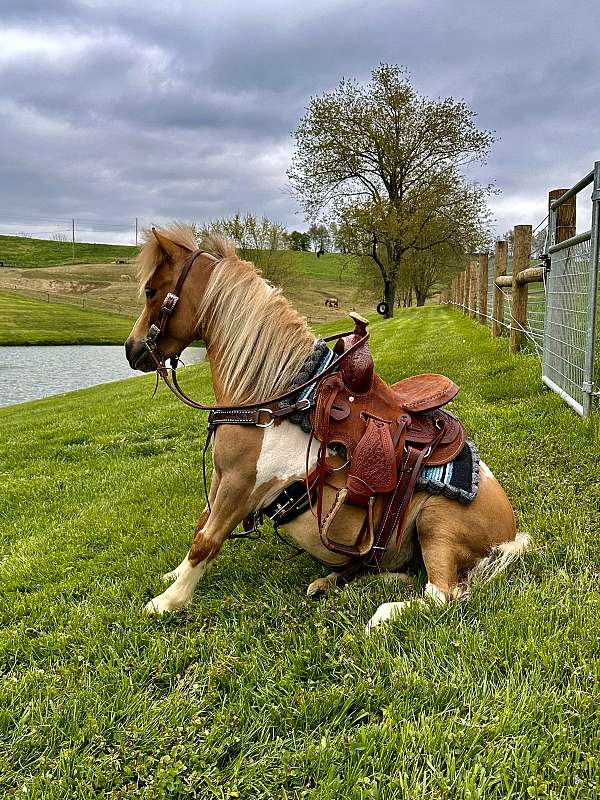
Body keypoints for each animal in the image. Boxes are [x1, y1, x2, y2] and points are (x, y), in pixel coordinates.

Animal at [124, 225, 528, 632]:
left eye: (151, 291)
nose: (130, 349)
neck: (274, 397)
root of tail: (508, 532)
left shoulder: (240, 485)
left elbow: (207, 540)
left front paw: (167, 602)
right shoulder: (223, 477)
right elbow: (201, 525)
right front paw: (174, 577)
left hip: (436, 523)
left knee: (443, 594)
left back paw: (381, 614)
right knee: (401, 574)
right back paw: (336, 582)